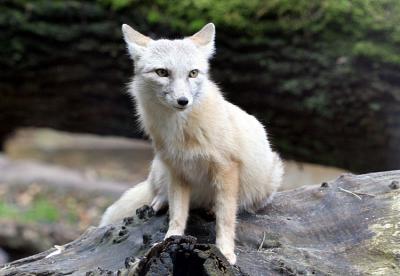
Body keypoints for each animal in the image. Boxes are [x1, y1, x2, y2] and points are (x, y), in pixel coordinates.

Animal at [100, 22, 282, 264]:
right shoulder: (178, 170)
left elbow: (226, 217)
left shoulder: (226, 168)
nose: (183, 101)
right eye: (162, 72)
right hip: (160, 167)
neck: (181, 132)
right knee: (159, 192)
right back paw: (160, 200)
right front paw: (170, 239)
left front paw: (225, 251)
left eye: (193, 73)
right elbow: (177, 214)